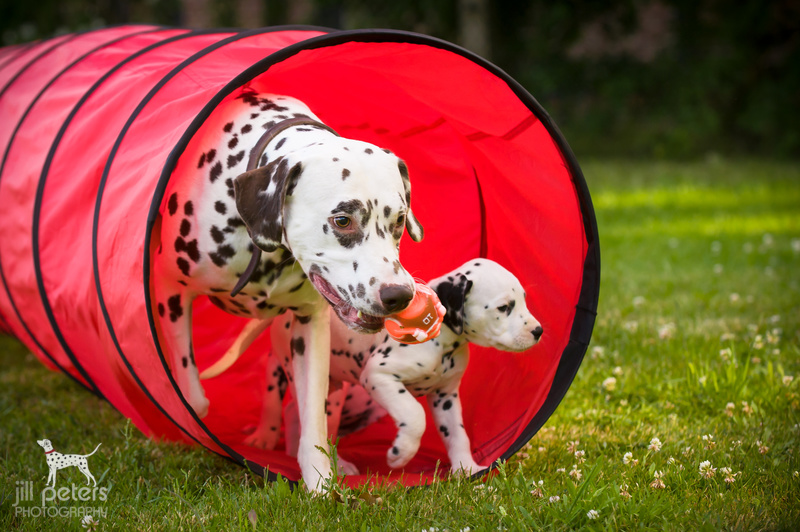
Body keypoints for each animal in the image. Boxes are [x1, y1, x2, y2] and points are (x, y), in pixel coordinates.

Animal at [152, 86, 424, 490]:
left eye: (399, 220)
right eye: (342, 220)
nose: (398, 296)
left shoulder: (310, 327)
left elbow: (313, 419)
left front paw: (320, 482)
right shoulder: (170, 288)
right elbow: (192, 394)